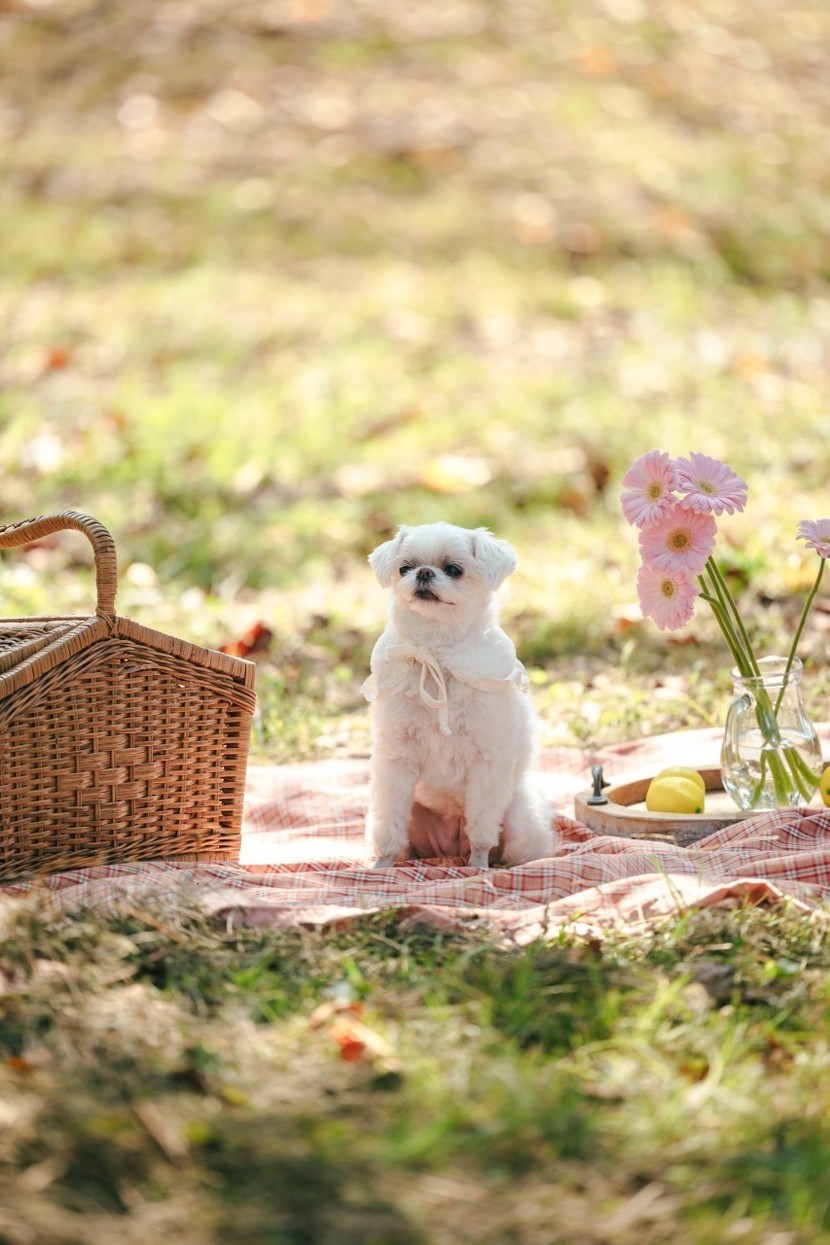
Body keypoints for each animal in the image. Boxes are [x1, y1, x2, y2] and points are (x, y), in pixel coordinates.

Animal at [361, 522, 552, 869]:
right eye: (404, 568)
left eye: (453, 570)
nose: (423, 572)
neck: (438, 653)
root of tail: (449, 848)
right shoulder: (396, 760)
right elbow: (389, 825)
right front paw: (381, 867)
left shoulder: (487, 764)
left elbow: (482, 830)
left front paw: (478, 867)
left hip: (521, 821)